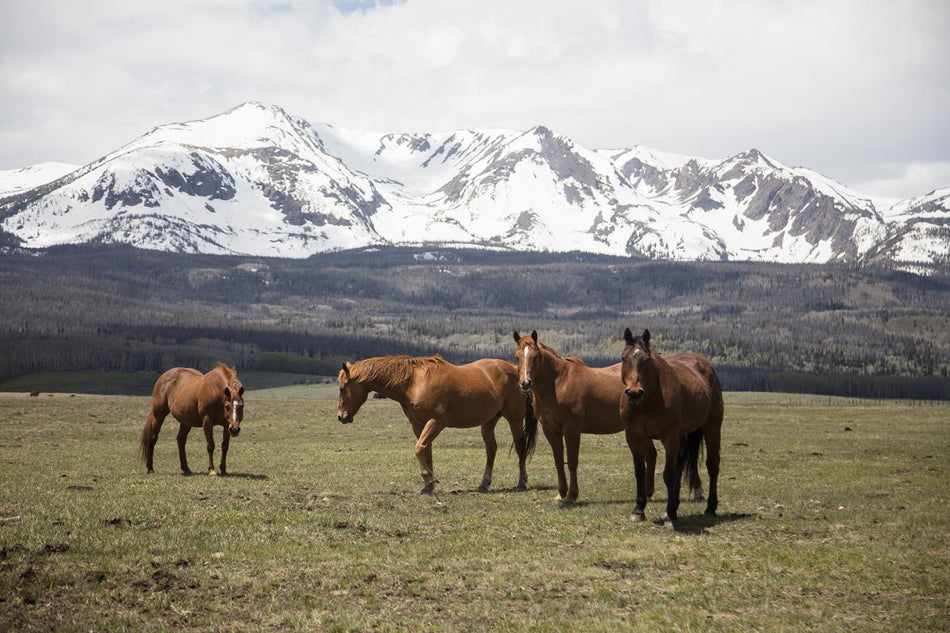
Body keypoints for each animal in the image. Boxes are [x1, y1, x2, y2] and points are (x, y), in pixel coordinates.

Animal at [337, 355, 537, 495]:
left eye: (342, 388)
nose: (341, 417)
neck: (414, 382)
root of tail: (516, 372)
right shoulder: (418, 425)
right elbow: (426, 452)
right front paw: (429, 485)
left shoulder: (436, 423)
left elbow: (419, 449)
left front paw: (428, 480)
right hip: (488, 422)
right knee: (491, 450)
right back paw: (484, 484)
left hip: (514, 419)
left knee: (520, 447)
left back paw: (522, 481)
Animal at [513, 330, 660, 503]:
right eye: (517, 357)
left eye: (535, 356)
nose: (525, 383)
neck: (559, 382)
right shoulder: (551, 431)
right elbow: (558, 462)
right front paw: (560, 494)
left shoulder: (571, 429)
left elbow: (572, 462)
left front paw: (571, 495)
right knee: (651, 454)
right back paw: (648, 492)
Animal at [620, 328, 723, 529]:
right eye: (623, 358)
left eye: (647, 359)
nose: (634, 393)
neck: (648, 400)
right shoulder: (634, 437)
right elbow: (640, 472)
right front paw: (638, 510)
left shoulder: (669, 437)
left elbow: (668, 474)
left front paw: (670, 517)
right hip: (682, 436)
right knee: (680, 464)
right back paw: (674, 507)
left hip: (712, 428)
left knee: (712, 465)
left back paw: (709, 508)